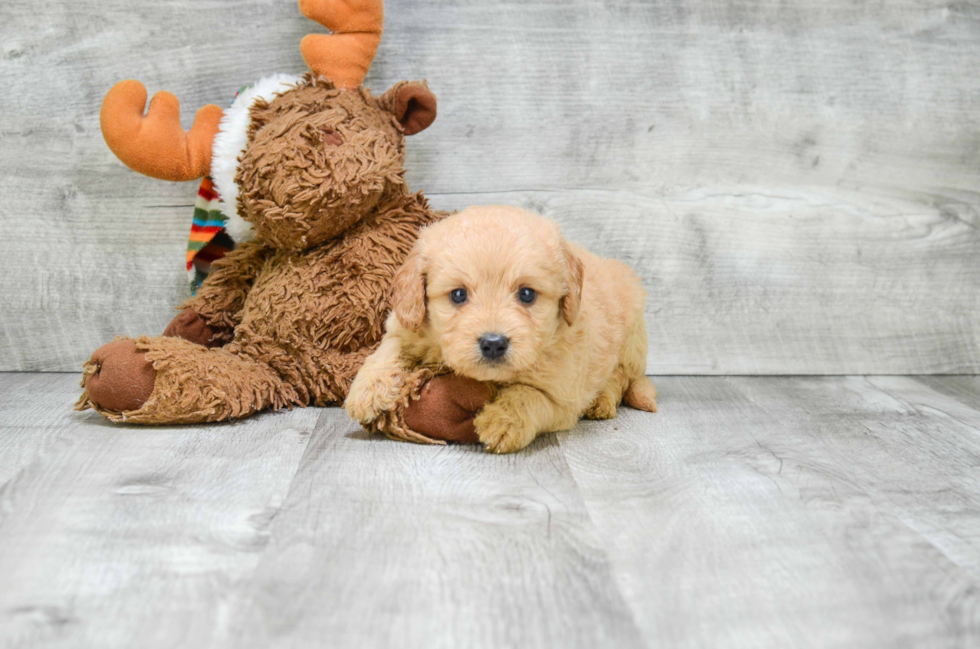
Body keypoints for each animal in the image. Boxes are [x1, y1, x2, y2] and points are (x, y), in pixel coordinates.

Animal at [344, 205, 660, 454]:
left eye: (527, 294)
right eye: (458, 295)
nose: (493, 343)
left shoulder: (563, 394)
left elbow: (529, 394)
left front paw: (503, 421)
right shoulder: (406, 324)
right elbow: (389, 348)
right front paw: (367, 391)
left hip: (631, 342)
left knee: (619, 378)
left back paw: (601, 402)